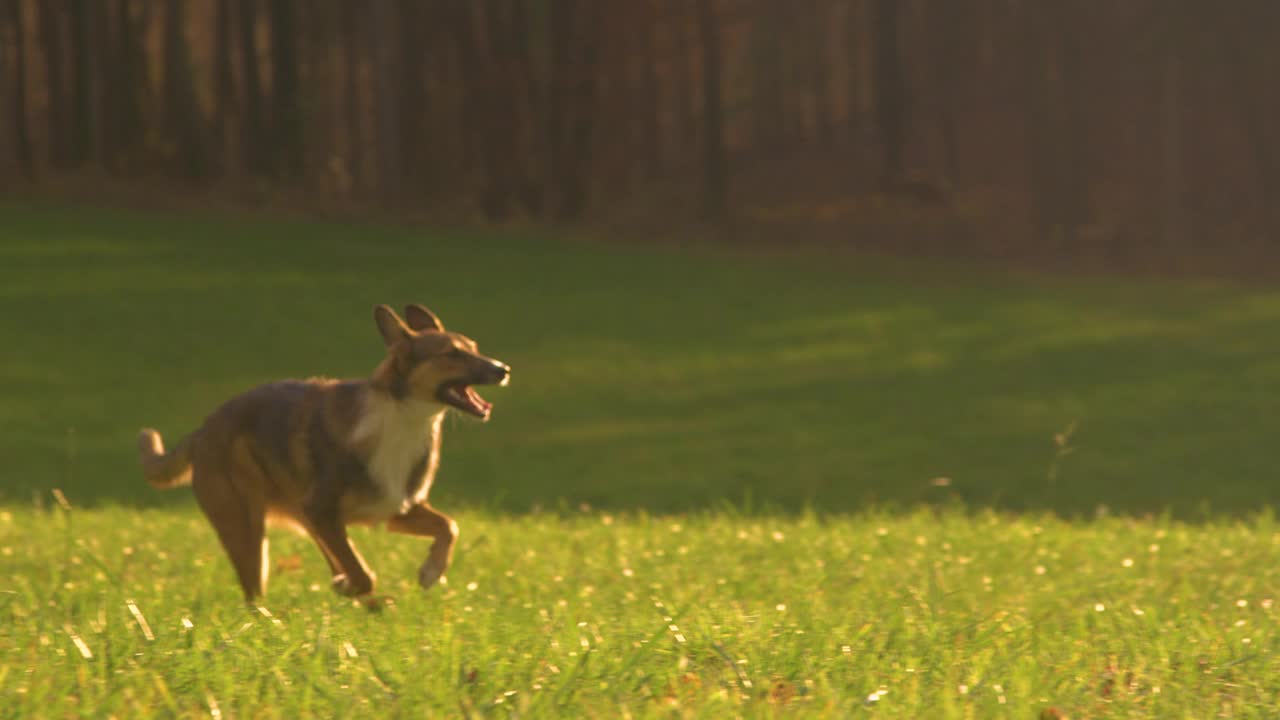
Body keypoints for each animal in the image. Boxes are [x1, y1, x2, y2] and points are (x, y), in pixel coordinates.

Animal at [133, 302, 504, 599]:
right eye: (452, 354)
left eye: (474, 348)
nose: (504, 369)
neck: (403, 418)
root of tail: (202, 430)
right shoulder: (324, 511)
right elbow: (362, 573)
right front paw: (358, 587)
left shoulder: (397, 510)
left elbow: (449, 525)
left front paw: (431, 572)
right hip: (246, 527)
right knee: (255, 594)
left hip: (299, 518)